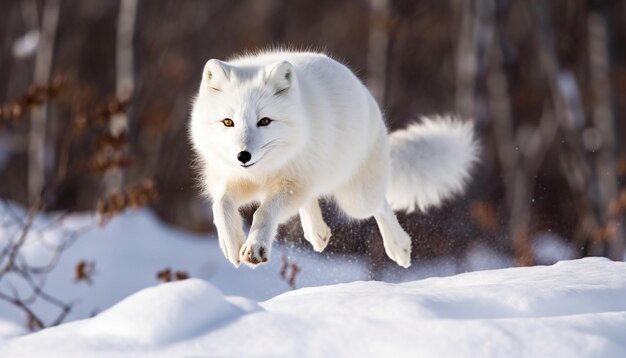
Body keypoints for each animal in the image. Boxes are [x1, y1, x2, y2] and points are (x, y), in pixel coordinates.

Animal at [188, 50, 476, 268]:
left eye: (265, 121)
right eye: (228, 122)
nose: (243, 155)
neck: (262, 172)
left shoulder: (288, 184)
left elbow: (264, 211)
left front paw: (255, 246)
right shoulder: (233, 177)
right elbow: (221, 205)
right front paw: (232, 244)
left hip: (356, 199)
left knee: (381, 206)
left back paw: (399, 247)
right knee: (312, 199)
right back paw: (317, 232)